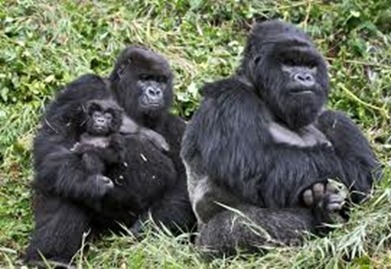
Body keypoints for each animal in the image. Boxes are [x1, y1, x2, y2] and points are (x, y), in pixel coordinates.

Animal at [23, 46, 196, 266]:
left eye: (161, 81)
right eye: (145, 78)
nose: (155, 91)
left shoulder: (178, 128)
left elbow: (185, 182)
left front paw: (147, 229)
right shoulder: (82, 88)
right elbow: (55, 143)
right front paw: (86, 182)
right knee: (63, 179)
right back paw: (48, 259)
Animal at [182, 20, 382, 255]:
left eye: (310, 66)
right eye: (289, 63)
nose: (305, 77)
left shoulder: (336, 119)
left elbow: (371, 174)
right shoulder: (228, 97)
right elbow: (254, 162)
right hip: (205, 244)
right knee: (242, 227)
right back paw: (324, 214)